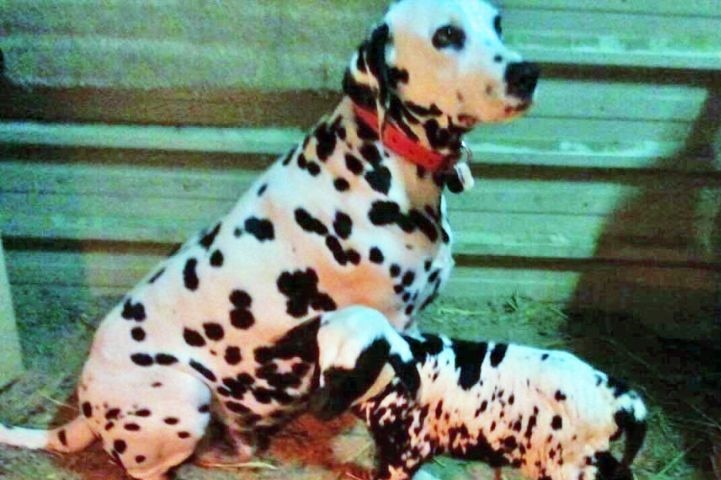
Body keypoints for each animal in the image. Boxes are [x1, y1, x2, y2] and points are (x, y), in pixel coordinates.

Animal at [0, 0, 536, 478]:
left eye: (498, 24)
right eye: (446, 35)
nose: (528, 73)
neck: (383, 162)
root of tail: (85, 410)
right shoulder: (387, 327)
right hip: (183, 398)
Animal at [310, 308, 648, 480]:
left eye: (363, 366)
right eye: (318, 355)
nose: (319, 408)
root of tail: (623, 398)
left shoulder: (410, 449)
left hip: (569, 464)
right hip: (588, 457)